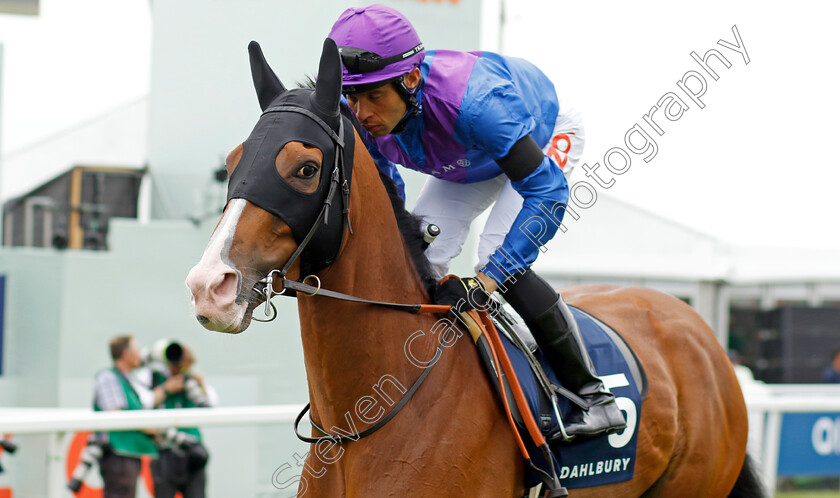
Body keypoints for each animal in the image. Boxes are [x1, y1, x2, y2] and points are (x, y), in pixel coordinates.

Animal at [185, 37, 760, 496]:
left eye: (305, 169)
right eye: (234, 164)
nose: (209, 286)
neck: (368, 419)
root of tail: (696, 329)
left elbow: (542, 191)